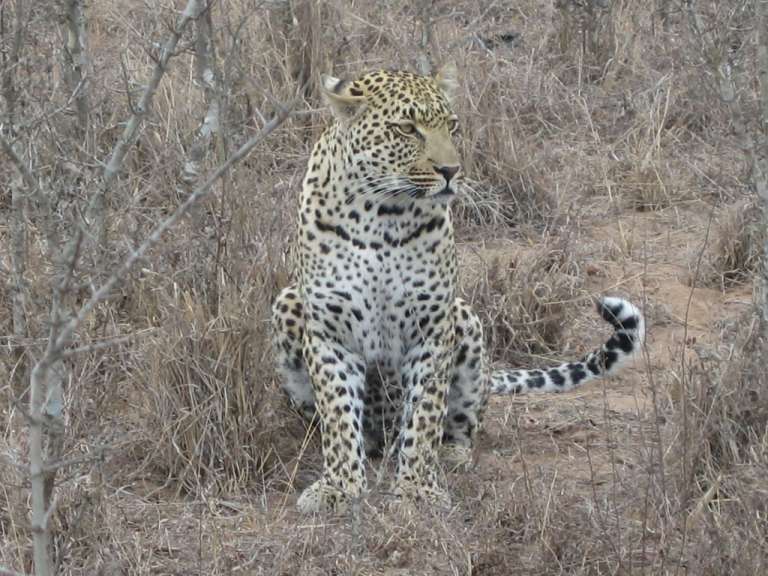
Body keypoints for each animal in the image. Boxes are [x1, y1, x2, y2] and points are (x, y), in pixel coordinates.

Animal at [271, 65, 645, 514]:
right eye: (407, 129)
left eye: (450, 126)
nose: (451, 171)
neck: (380, 215)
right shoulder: (330, 332)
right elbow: (339, 415)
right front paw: (340, 486)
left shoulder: (431, 328)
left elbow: (424, 414)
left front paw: (417, 488)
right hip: (287, 303)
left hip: (465, 320)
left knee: (462, 423)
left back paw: (450, 454)